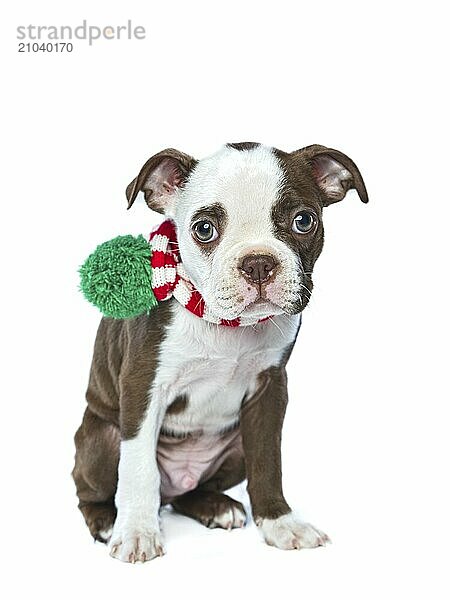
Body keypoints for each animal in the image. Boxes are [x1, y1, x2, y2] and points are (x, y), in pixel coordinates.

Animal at [72, 142, 368, 564]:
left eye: (303, 221)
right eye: (204, 229)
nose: (258, 263)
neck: (227, 328)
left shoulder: (270, 390)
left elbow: (268, 462)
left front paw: (281, 523)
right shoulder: (143, 386)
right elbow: (138, 466)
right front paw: (137, 533)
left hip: (234, 447)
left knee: (190, 494)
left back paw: (215, 506)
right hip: (102, 437)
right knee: (91, 488)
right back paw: (107, 520)